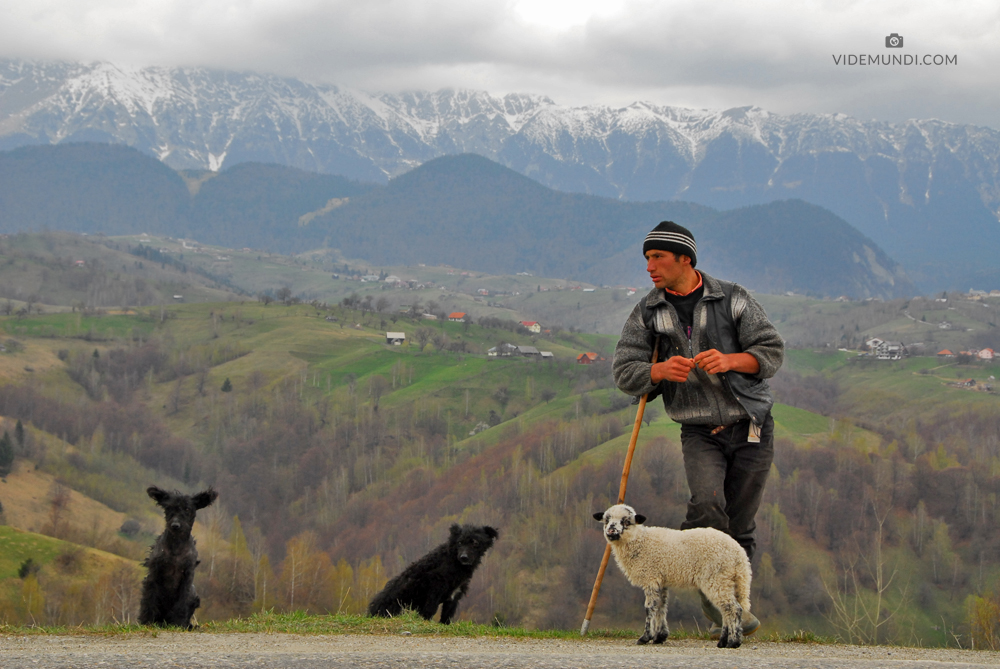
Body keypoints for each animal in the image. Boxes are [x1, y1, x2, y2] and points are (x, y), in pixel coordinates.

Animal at [139, 486, 217, 628]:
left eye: (187, 509)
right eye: (169, 508)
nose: (175, 525)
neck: (176, 545)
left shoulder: (187, 576)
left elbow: (182, 603)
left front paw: (179, 624)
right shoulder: (154, 574)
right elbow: (149, 599)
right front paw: (146, 621)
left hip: (193, 594)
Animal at [370, 520, 498, 620]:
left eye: (475, 543)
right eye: (460, 542)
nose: (464, 557)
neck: (453, 561)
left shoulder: (454, 597)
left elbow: (446, 618)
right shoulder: (433, 593)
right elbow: (428, 613)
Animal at [592, 504, 752, 648]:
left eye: (626, 521)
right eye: (606, 520)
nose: (611, 530)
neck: (640, 541)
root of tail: (739, 555)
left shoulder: (651, 577)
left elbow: (650, 607)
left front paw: (645, 637)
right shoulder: (660, 580)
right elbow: (661, 607)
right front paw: (660, 637)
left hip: (717, 577)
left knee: (733, 609)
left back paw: (733, 642)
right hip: (726, 579)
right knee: (726, 610)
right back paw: (723, 641)